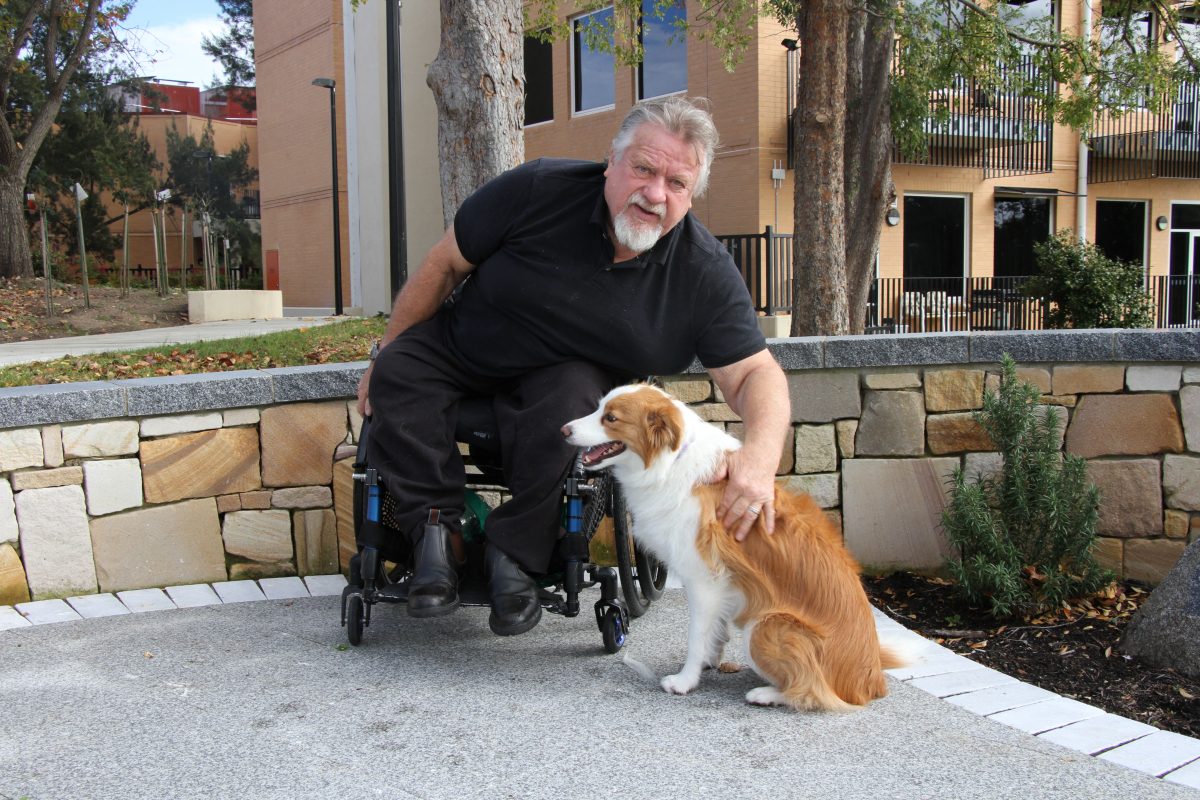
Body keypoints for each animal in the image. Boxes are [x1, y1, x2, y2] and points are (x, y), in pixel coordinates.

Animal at [561, 383, 902, 710]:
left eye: (611, 418)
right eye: (598, 408)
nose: (564, 430)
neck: (671, 460)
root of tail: (872, 682)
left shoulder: (704, 580)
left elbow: (696, 636)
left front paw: (685, 680)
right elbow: (715, 630)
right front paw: (710, 660)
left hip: (766, 625)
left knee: (816, 692)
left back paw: (767, 694)